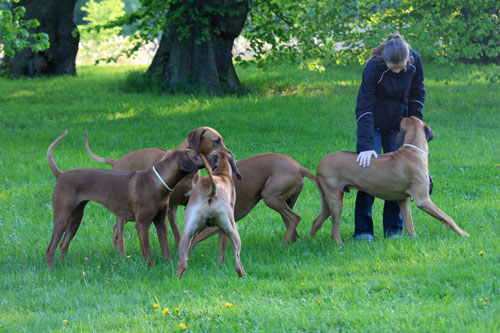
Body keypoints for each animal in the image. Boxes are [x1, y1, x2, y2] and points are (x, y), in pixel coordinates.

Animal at [45, 130, 203, 268]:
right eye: (196, 155)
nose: (207, 157)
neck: (157, 181)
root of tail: (61, 175)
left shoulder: (161, 223)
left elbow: (166, 249)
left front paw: (168, 266)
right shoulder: (142, 225)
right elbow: (148, 253)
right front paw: (151, 269)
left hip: (75, 218)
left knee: (63, 245)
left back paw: (64, 265)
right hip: (62, 218)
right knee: (50, 248)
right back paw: (52, 270)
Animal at [84, 126, 230, 255]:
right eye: (217, 140)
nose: (231, 155)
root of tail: (116, 161)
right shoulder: (171, 207)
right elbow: (177, 233)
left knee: (116, 228)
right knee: (119, 228)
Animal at [168, 151, 320, 254]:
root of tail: (298, 166)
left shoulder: (217, 226)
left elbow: (193, 241)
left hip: (270, 197)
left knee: (295, 218)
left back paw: (283, 243)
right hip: (286, 201)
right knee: (292, 224)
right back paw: (292, 241)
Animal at [178, 150, 244, 278]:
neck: (221, 173)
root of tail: (211, 191)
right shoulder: (222, 230)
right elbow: (221, 254)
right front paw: (220, 268)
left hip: (186, 234)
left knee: (182, 264)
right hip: (234, 232)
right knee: (237, 264)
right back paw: (243, 275)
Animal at [308, 116, 468, 244]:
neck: (412, 152)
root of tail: (321, 163)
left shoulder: (403, 200)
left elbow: (410, 225)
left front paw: (413, 241)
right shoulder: (424, 200)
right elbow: (447, 217)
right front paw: (463, 233)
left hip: (329, 199)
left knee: (317, 220)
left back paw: (309, 242)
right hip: (336, 200)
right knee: (334, 229)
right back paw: (339, 244)